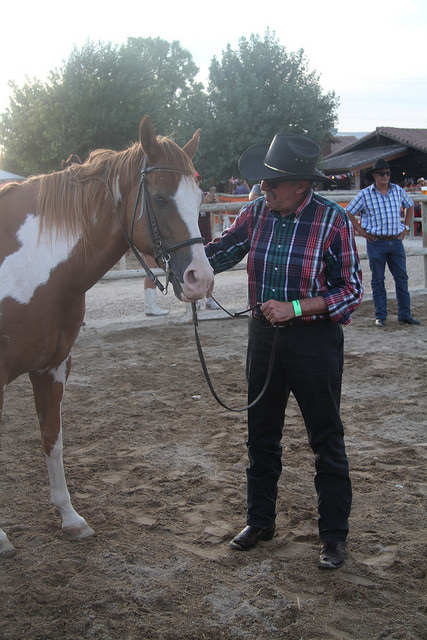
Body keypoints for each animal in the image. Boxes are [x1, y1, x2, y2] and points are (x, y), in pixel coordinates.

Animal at [0, 115, 214, 557]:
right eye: (160, 198)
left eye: (199, 196)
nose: (200, 279)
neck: (28, 267)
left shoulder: (52, 368)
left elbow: (52, 438)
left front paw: (70, 518)